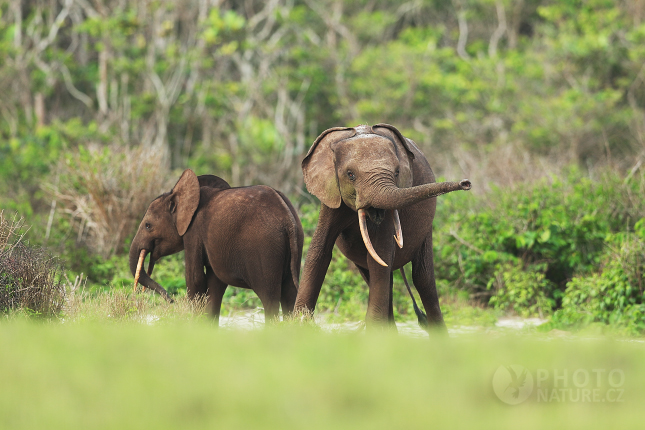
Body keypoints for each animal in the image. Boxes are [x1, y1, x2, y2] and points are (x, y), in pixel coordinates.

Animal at [130, 170, 304, 324]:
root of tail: (287, 219)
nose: (172, 301)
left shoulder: (194, 232)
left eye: (147, 226)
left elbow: (195, 278)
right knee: (290, 295)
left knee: (269, 298)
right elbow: (215, 285)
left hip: (266, 250)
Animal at [294, 122, 470, 330]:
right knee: (377, 277)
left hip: (426, 227)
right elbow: (319, 252)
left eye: (397, 173)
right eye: (350, 175)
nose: (466, 183)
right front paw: (298, 324)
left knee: (422, 278)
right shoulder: (331, 195)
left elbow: (379, 257)